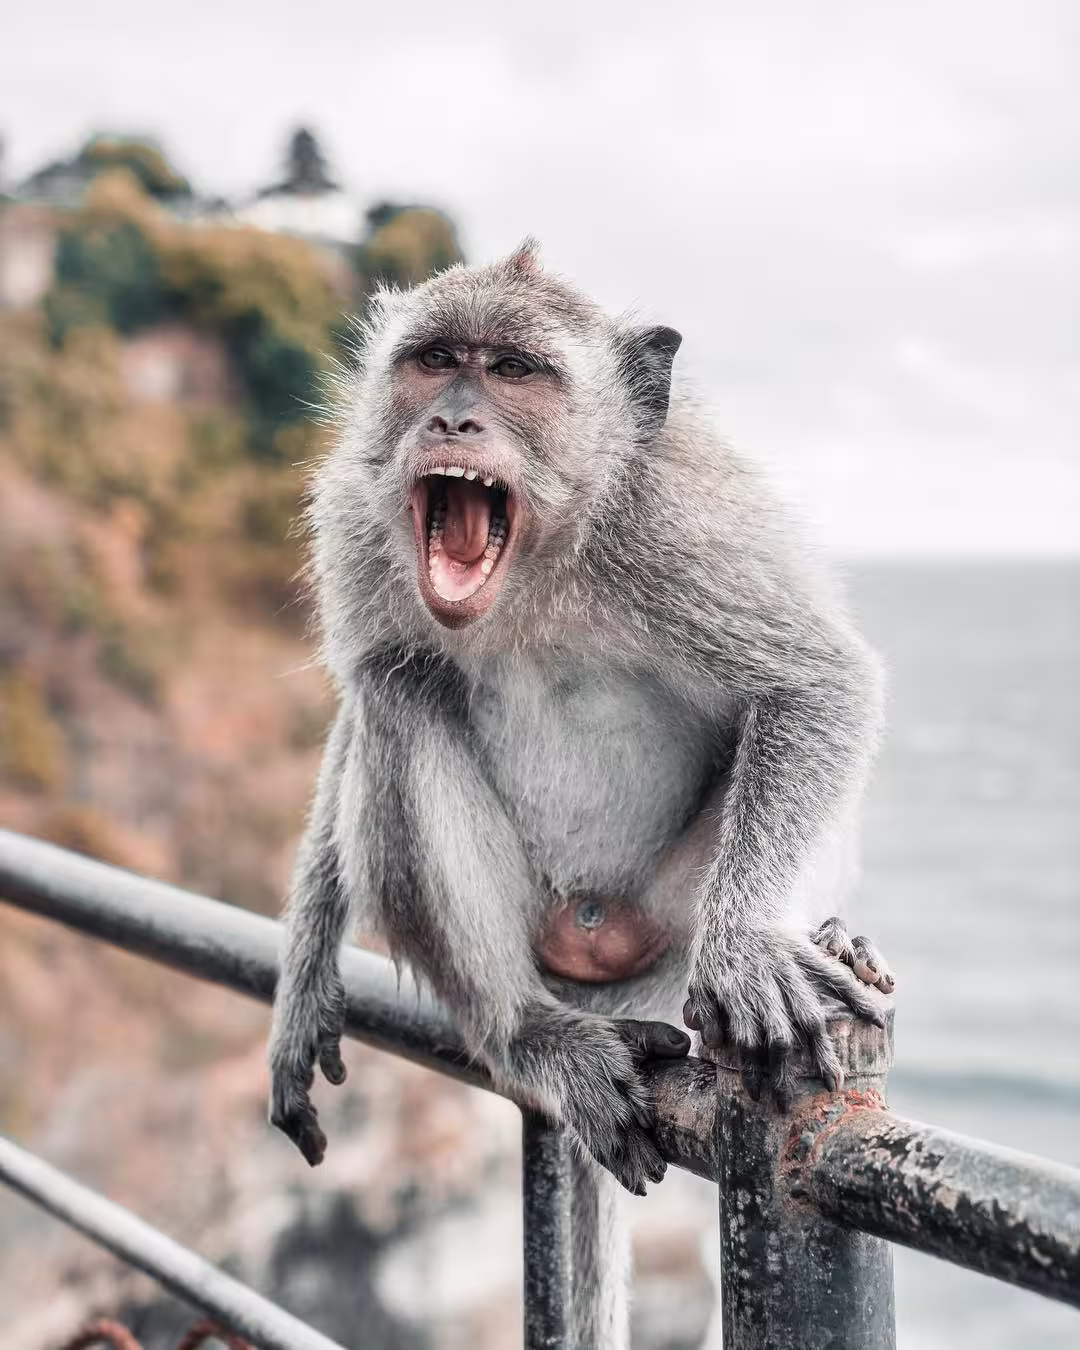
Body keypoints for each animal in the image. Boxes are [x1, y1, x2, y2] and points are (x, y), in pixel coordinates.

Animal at [267, 241, 894, 1348]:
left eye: (514, 371)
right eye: (435, 361)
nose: (453, 421)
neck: (543, 560)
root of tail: (596, 974)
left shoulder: (687, 527)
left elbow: (816, 685)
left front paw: (750, 951)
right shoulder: (355, 515)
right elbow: (358, 701)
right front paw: (303, 981)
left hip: (668, 936)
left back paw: (822, 940)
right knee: (396, 689)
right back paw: (526, 1032)